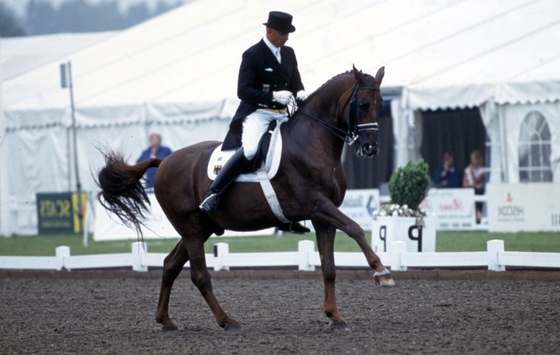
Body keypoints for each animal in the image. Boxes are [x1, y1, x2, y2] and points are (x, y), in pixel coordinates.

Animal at [96, 66, 394, 330]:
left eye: (381, 104)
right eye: (363, 104)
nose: (370, 148)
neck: (313, 140)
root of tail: (165, 160)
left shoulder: (323, 217)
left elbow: (329, 267)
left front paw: (335, 317)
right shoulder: (318, 204)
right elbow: (355, 228)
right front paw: (382, 272)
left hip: (200, 228)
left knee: (170, 266)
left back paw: (166, 321)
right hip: (191, 230)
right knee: (199, 275)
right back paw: (227, 321)